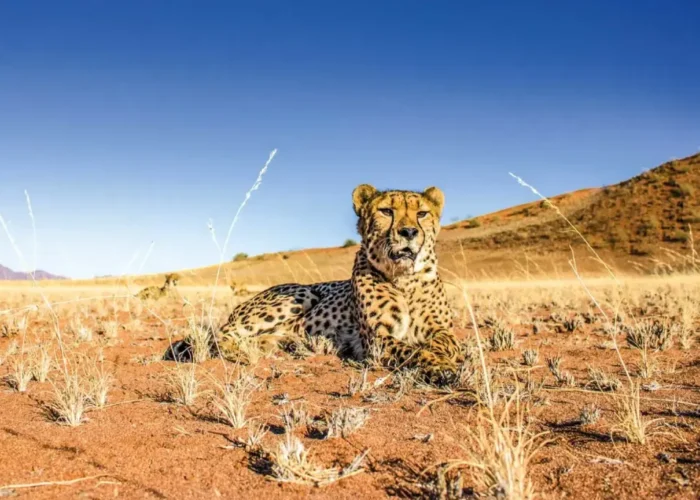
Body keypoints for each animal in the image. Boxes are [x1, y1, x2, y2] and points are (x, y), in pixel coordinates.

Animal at [165, 184, 460, 384]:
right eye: (386, 211)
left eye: (422, 213)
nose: (408, 232)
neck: (404, 278)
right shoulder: (377, 339)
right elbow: (411, 350)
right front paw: (438, 366)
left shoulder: (443, 329)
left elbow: (443, 342)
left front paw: (440, 358)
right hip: (301, 293)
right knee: (220, 335)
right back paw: (242, 353)